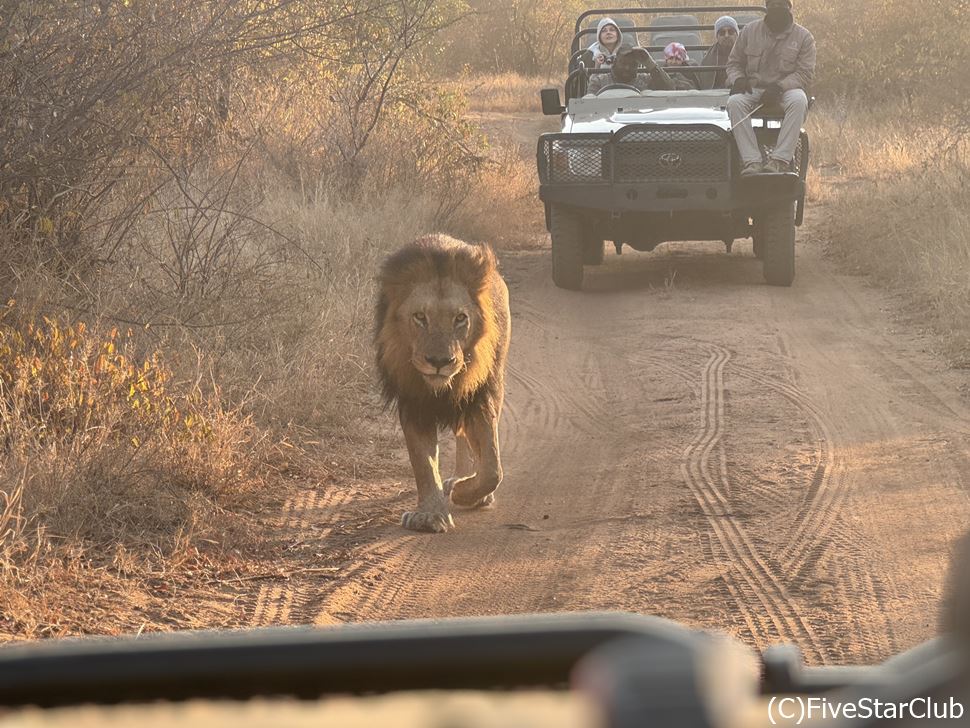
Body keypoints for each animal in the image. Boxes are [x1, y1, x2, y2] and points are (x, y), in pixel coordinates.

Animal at [374, 235, 510, 536]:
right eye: (419, 317)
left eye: (460, 318)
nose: (439, 362)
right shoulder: (414, 402)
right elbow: (423, 463)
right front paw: (429, 516)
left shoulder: (479, 396)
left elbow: (492, 468)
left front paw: (466, 494)